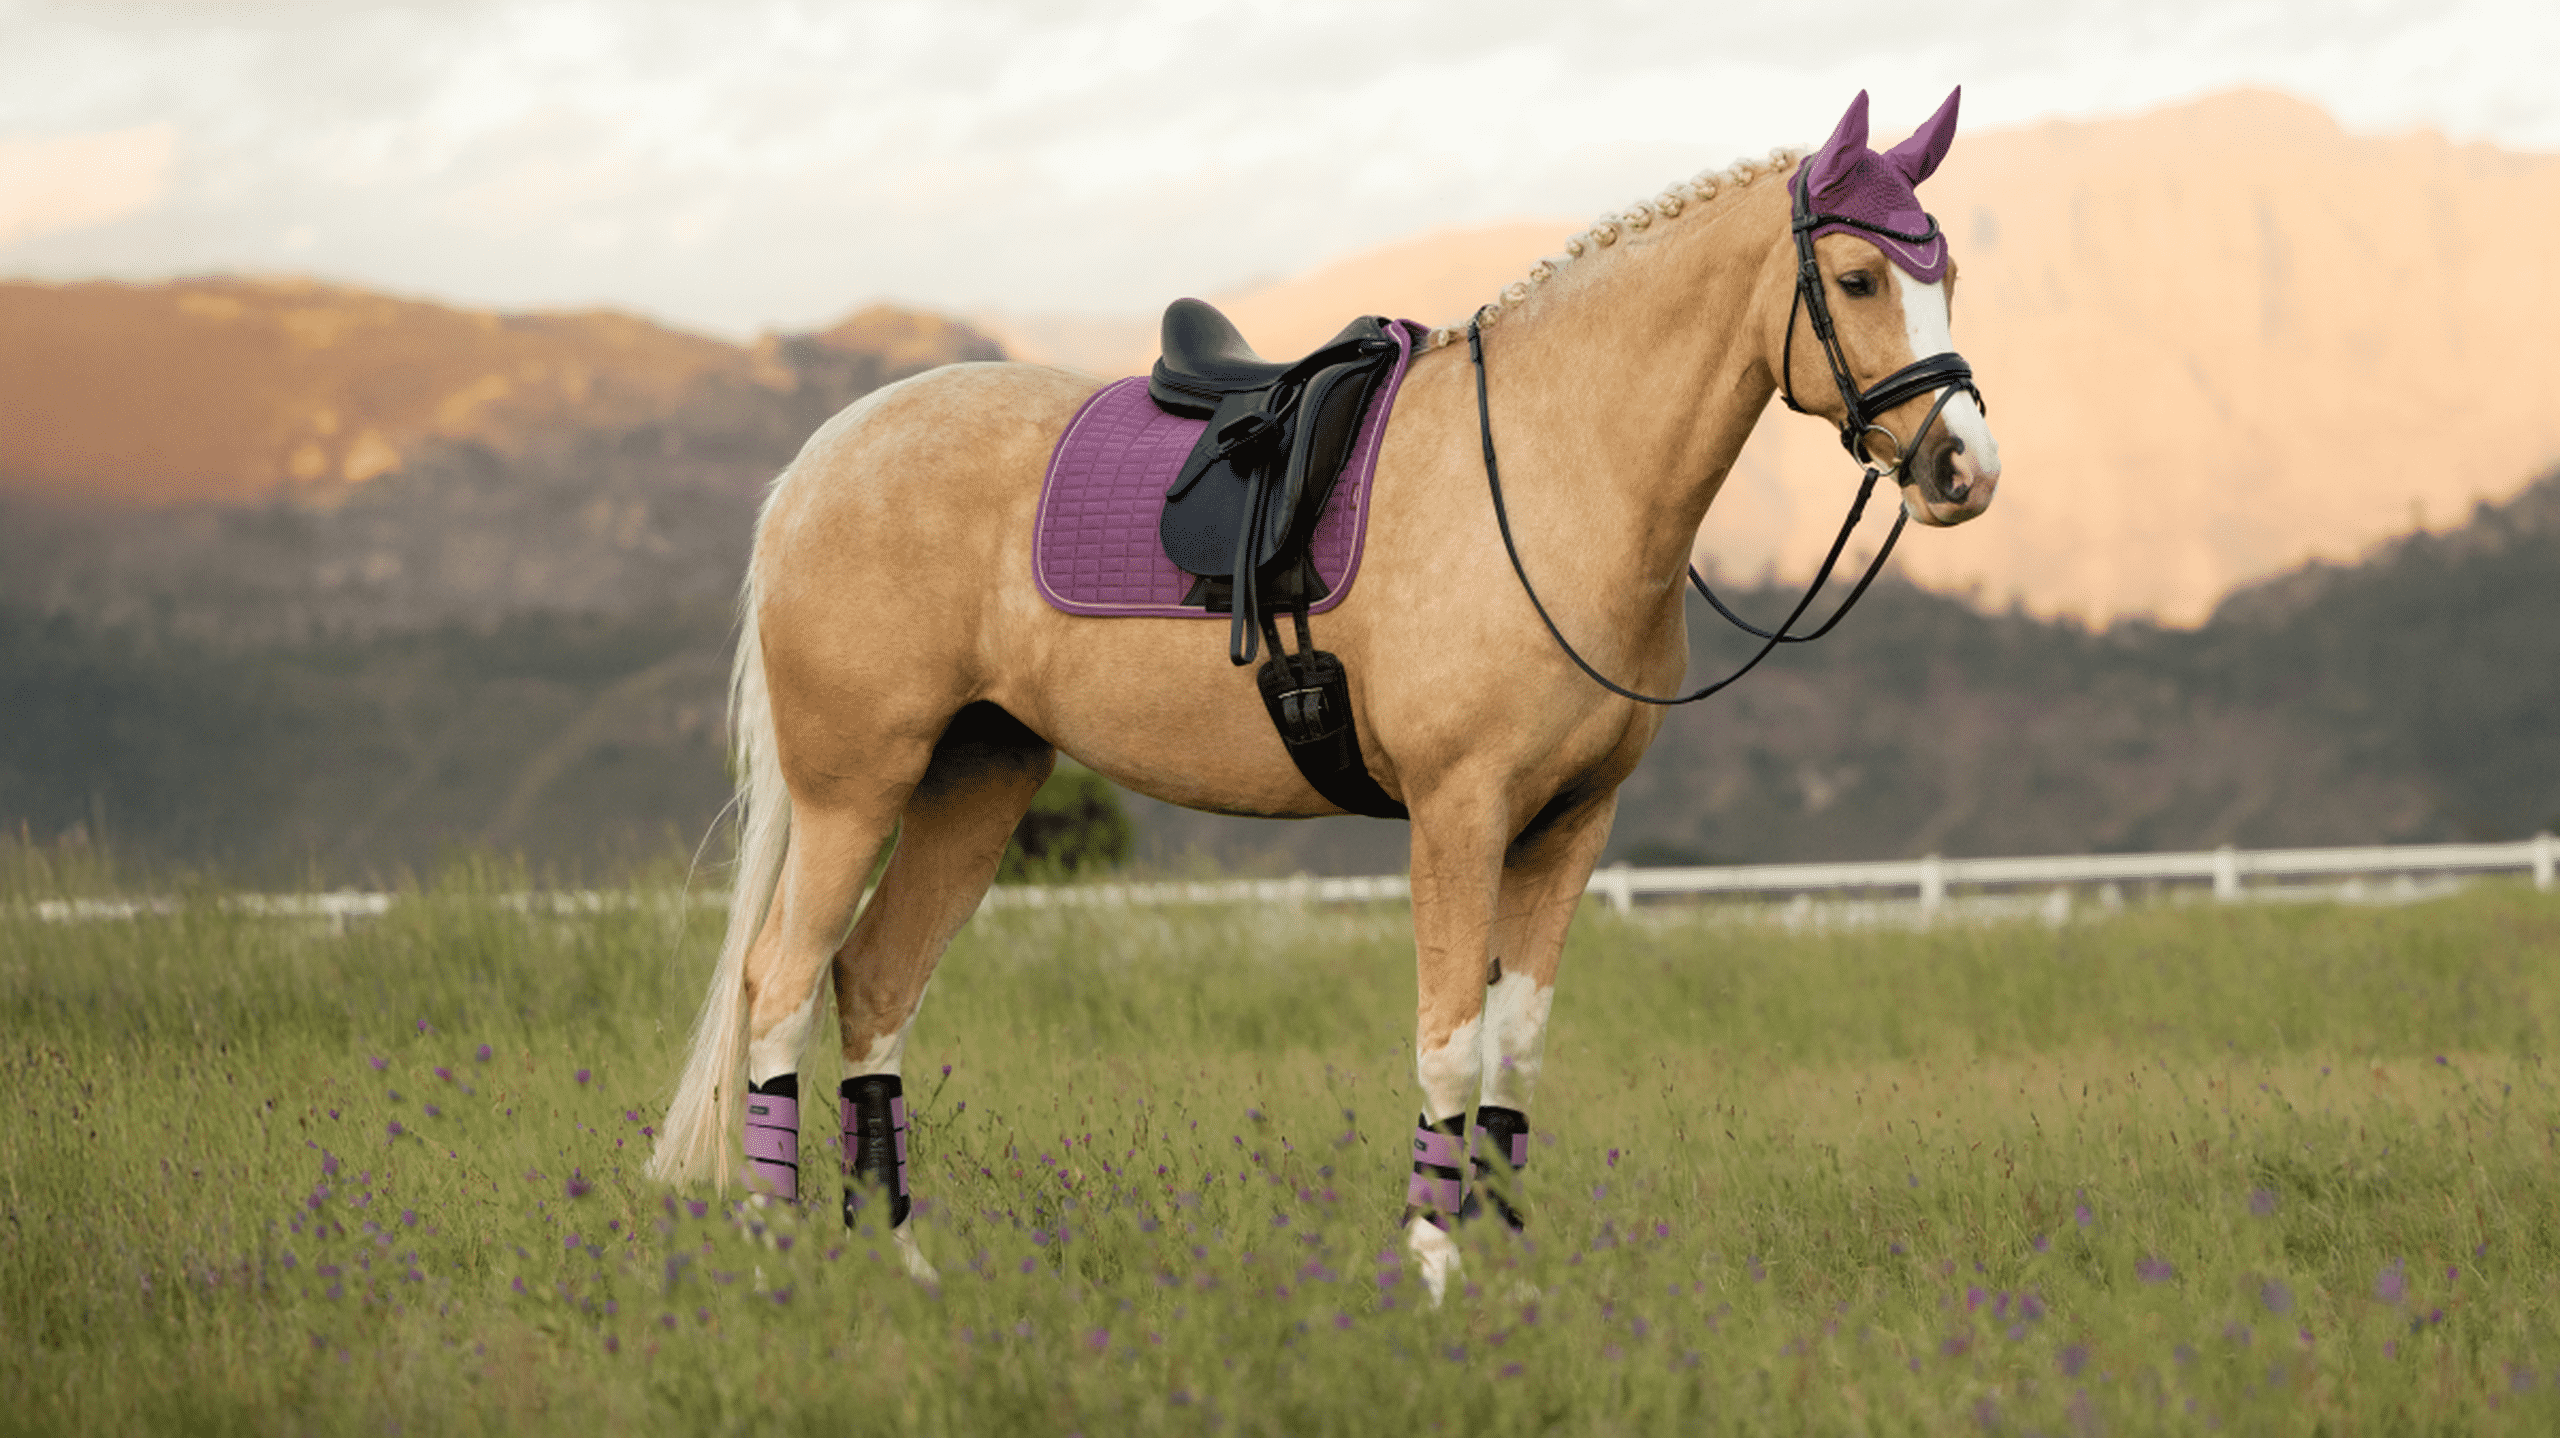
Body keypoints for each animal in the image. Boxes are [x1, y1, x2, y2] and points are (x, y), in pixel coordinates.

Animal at [646, 87, 2002, 1301]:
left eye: (1944, 271)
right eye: (1861, 279)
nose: (1965, 469)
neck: (1547, 468)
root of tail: (824, 458)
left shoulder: (1572, 825)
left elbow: (1516, 1055)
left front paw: (1509, 1277)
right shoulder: (1459, 815)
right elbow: (1449, 1047)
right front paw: (1434, 1269)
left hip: (978, 774)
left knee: (873, 984)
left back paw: (905, 1266)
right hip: (855, 785)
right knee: (778, 986)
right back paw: (774, 1261)